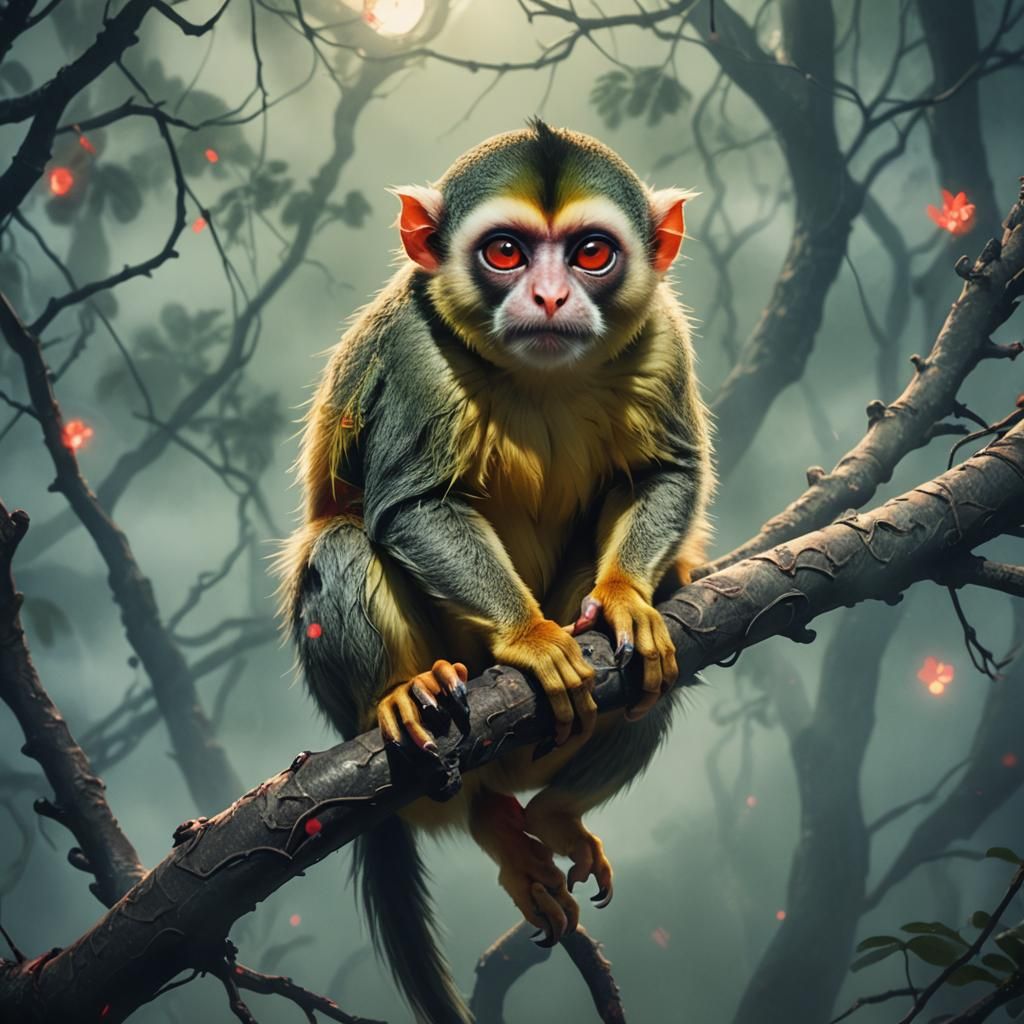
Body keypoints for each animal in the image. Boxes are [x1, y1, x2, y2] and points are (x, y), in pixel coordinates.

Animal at [278, 120, 713, 1024]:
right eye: (506, 252)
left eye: (591, 253)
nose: (547, 299)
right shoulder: (416, 350)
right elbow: (411, 504)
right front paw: (532, 638)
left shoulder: (661, 332)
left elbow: (665, 471)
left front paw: (625, 600)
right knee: (341, 543)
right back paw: (411, 710)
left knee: (665, 654)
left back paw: (548, 813)